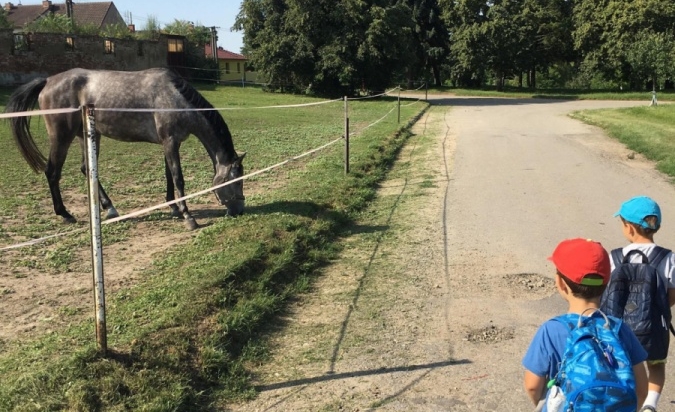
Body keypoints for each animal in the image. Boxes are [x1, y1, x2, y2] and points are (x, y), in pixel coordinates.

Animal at [3, 67, 247, 229]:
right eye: (236, 180)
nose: (239, 211)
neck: (175, 98)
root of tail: (47, 81)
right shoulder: (170, 141)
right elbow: (178, 178)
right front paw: (189, 217)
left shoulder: (168, 143)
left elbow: (168, 175)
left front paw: (174, 208)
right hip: (62, 137)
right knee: (52, 172)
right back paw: (65, 214)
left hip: (88, 136)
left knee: (86, 169)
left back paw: (109, 207)